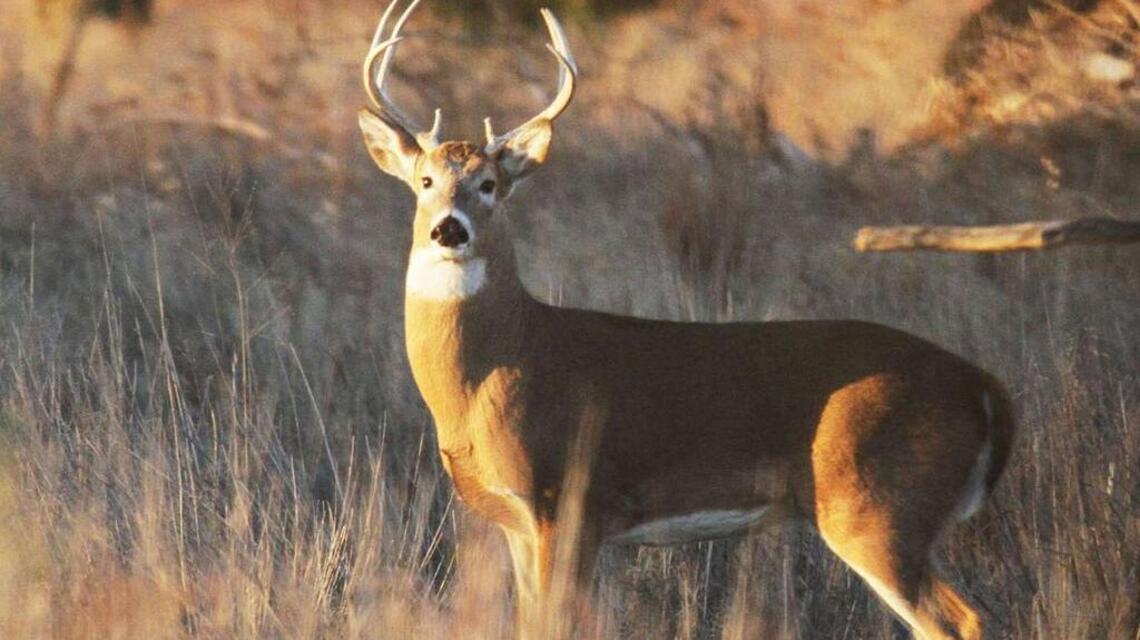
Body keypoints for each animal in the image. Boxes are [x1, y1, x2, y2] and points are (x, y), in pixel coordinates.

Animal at [356, 2, 1015, 638]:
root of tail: (985, 385)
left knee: (961, 618)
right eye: (424, 181)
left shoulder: (569, 498)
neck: (497, 370)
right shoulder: (517, 523)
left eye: (490, 184)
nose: (449, 229)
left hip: (877, 504)